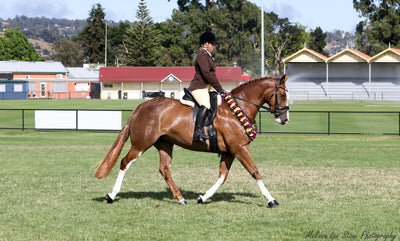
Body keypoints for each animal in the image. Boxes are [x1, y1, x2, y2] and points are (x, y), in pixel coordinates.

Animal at [95, 75, 290, 207]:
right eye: (281, 94)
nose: (285, 119)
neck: (236, 110)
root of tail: (139, 107)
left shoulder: (230, 152)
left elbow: (222, 177)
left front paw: (203, 197)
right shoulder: (240, 149)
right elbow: (255, 172)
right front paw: (271, 199)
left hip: (165, 144)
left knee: (164, 169)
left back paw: (181, 198)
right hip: (141, 144)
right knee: (125, 162)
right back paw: (111, 195)